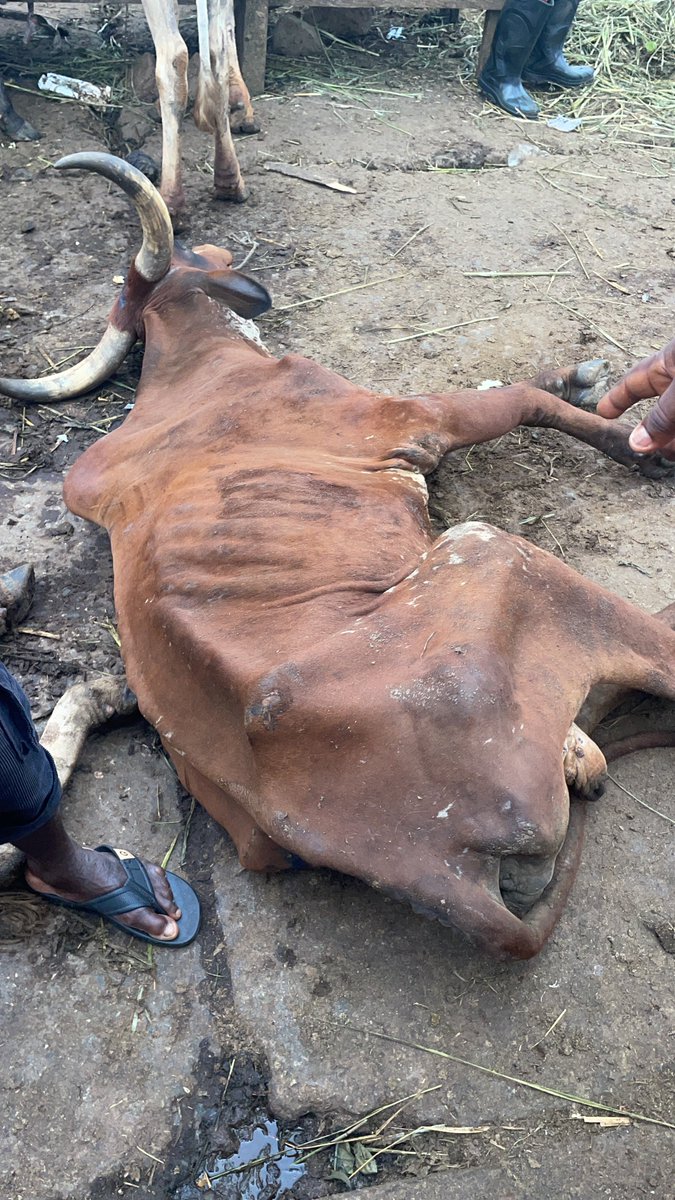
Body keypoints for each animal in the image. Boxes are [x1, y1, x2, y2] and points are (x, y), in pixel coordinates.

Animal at [1, 152, 673, 959]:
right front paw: (627, 437)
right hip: (495, 552)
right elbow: (521, 400)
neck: (196, 364)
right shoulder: (408, 417)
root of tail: (445, 872)